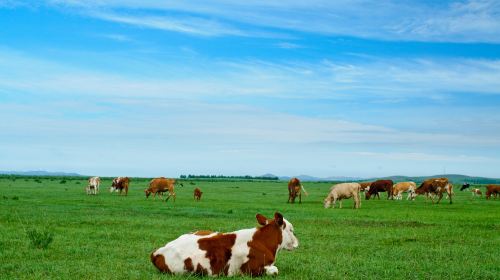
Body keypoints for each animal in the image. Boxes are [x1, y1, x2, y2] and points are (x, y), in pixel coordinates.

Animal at [150, 212, 298, 276]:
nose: (297, 242)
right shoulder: (251, 270)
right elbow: (275, 270)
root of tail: (158, 251)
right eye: (291, 230)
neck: (262, 242)